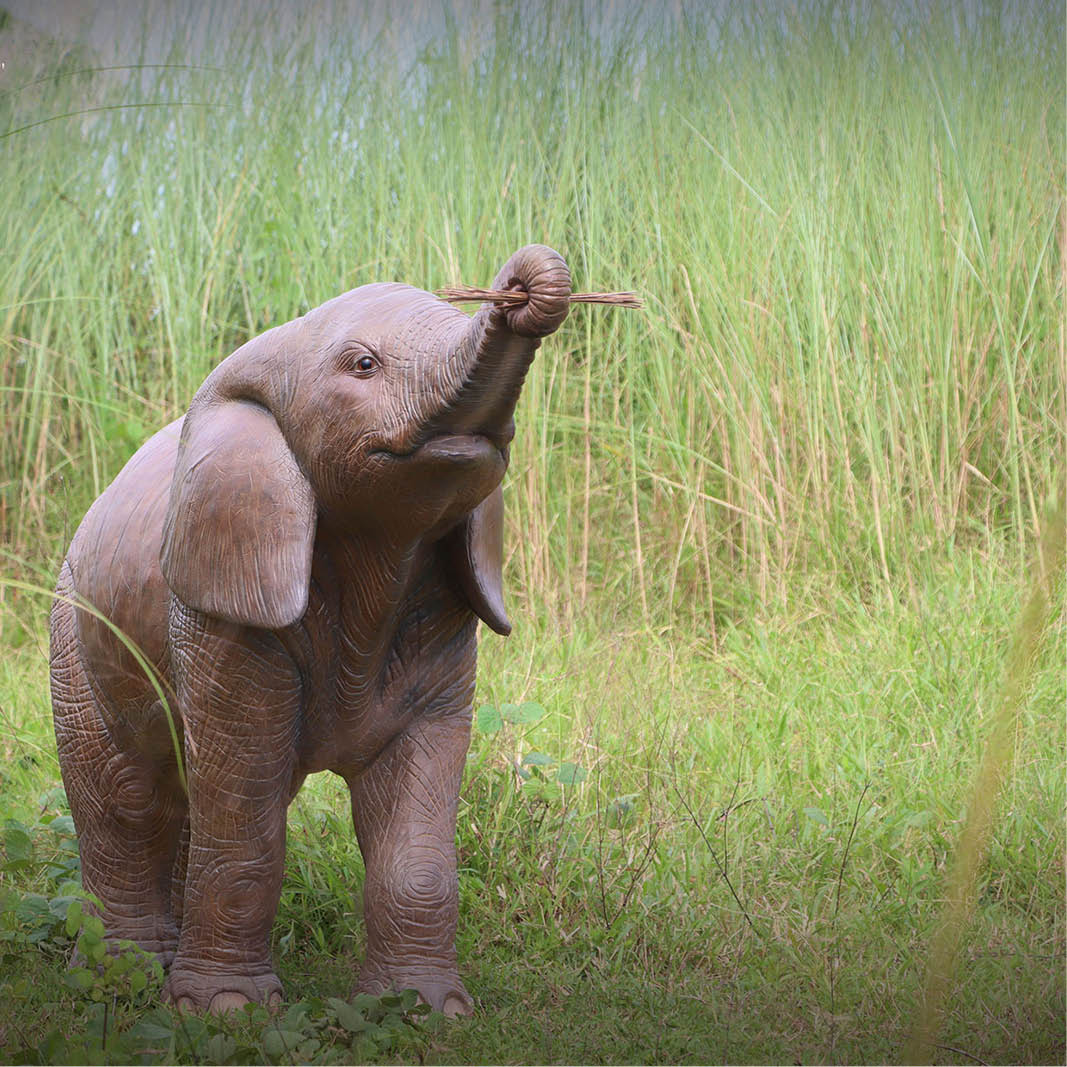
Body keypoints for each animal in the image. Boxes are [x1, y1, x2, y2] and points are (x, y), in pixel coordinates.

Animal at [48, 244, 572, 1017]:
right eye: (363, 365)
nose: (522, 284)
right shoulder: (221, 609)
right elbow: (247, 807)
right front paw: (228, 1013)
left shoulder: (440, 622)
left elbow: (415, 831)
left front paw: (423, 1012)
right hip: (75, 636)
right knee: (129, 797)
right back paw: (127, 979)